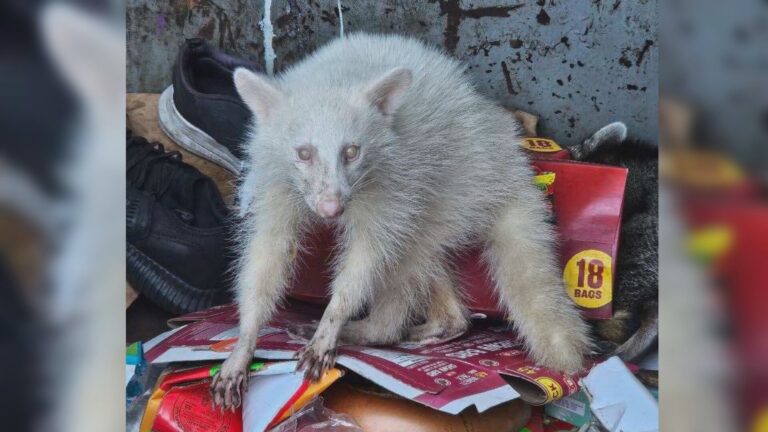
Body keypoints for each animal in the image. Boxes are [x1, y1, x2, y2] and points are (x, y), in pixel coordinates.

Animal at [213, 33, 592, 408]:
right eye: (304, 153)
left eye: (352, 152)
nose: (331, 209)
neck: (334, 75)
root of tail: (511, 165)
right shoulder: (275, 177)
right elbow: (268, 252)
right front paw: (246, 337)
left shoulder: (392, 178)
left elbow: (367, 256)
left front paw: (334, 316)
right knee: (424, 259)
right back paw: (448, 319)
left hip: (454, 183)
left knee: (408, 254)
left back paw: (380, 327)